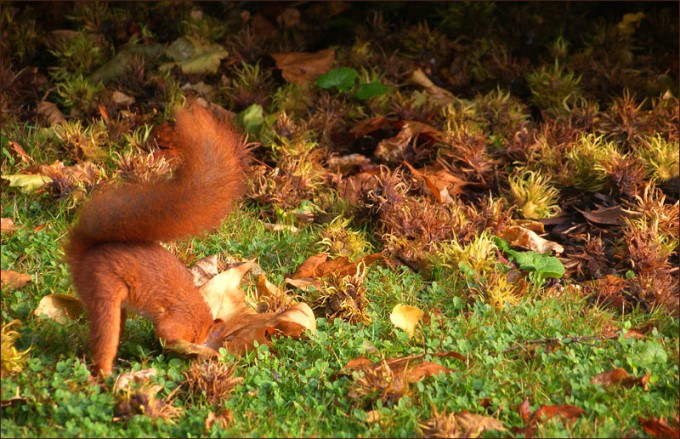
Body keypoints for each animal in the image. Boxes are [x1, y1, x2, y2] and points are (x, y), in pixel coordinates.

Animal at [64, 102, 249, 377]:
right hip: (104, 289)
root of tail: (82, 258)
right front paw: (192, 350)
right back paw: (105, 372)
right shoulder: (179, 321)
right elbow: (166, 334)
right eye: (217, 342)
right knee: (105, 335)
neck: (199, 318)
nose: (218, 356)